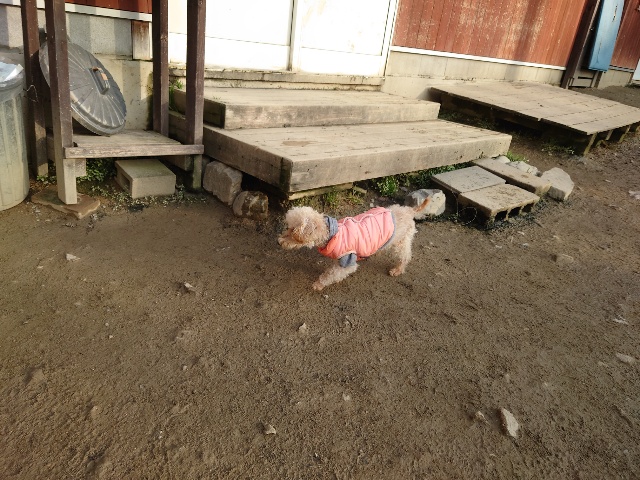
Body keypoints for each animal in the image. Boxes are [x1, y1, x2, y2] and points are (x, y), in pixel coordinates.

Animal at [278, 198, 431, 291]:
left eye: (293, 232)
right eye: (288, 228)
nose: (279, 241)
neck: (331, 233)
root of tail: (409, 210)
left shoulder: (348, 261)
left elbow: (331, 274)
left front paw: (318, 284)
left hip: (401, 243)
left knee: (405, 256)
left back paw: (397, 270)